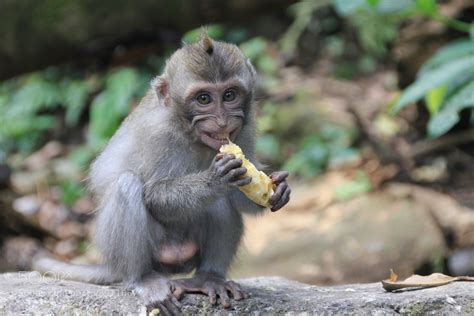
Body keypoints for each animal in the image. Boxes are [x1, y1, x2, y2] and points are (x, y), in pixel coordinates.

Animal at [34, 30, 288, 314]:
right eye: (203, 99)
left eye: (230, 95)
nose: (222, 121)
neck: (190, 133)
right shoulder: (157, 133)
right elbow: (154, 195)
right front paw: (215, 179)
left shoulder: (245, 127)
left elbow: (241, 189)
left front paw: (277, 188)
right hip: (135, 250)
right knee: (127, 185)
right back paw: (143, 279)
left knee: (219, 204)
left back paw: (209, 278)